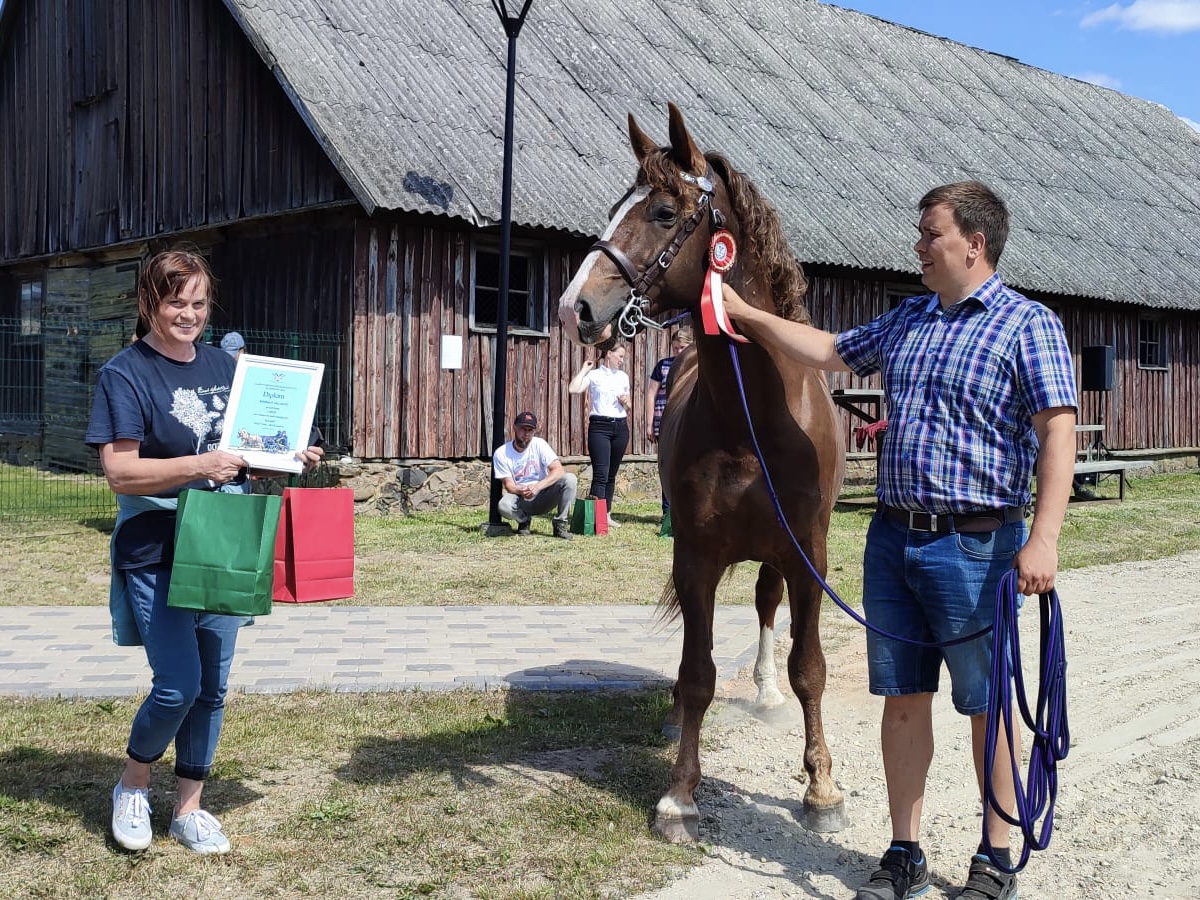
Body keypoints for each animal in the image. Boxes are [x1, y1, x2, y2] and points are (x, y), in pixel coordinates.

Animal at [559, 105, 849, 844]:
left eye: (664, 212)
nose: (576, 308)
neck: (753, 419)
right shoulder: (695, 557)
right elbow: (696, 674)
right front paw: (679, 795)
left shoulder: (808, 557)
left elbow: (810, 668)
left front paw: (822, 789)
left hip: (776, 556)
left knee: (769, 610)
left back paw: (768, 692)